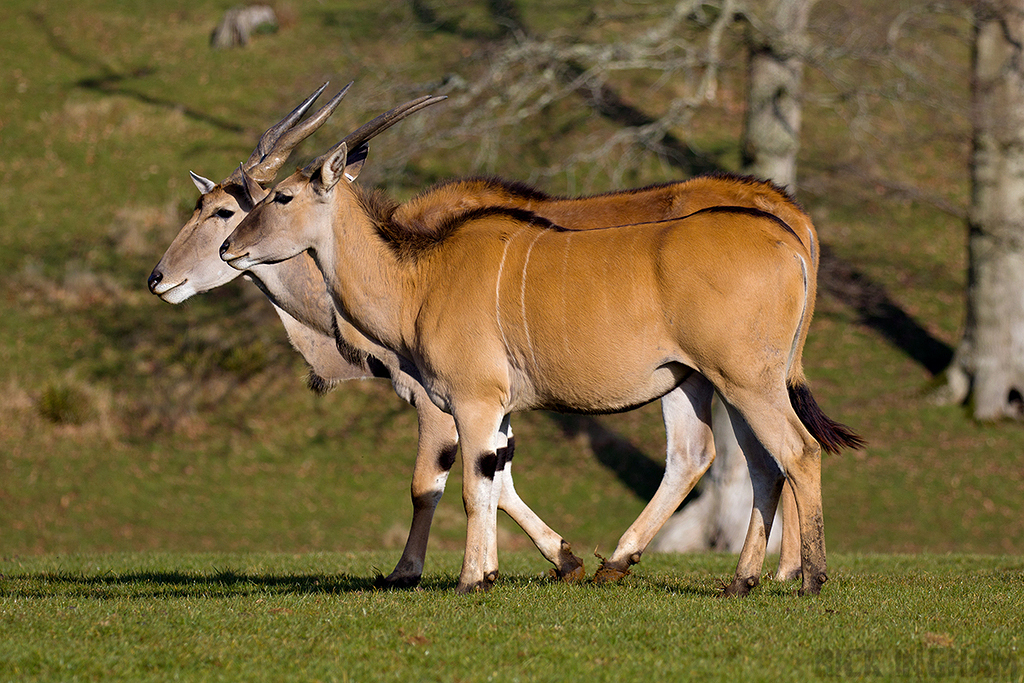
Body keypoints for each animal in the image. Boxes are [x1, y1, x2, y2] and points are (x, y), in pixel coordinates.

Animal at [220, 105, 863, 595]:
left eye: (281, 197)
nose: (229, 248)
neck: (420, 278)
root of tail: (791, 239)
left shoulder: (473, 400)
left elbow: (468, 487)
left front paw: (469, 581)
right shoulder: (497, 409)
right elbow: (493, 479)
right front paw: (504, 571)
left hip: (747, 381)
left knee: (797, 452)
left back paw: (807, 578)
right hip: (701, 381)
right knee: (735, 460)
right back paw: (725, 579)